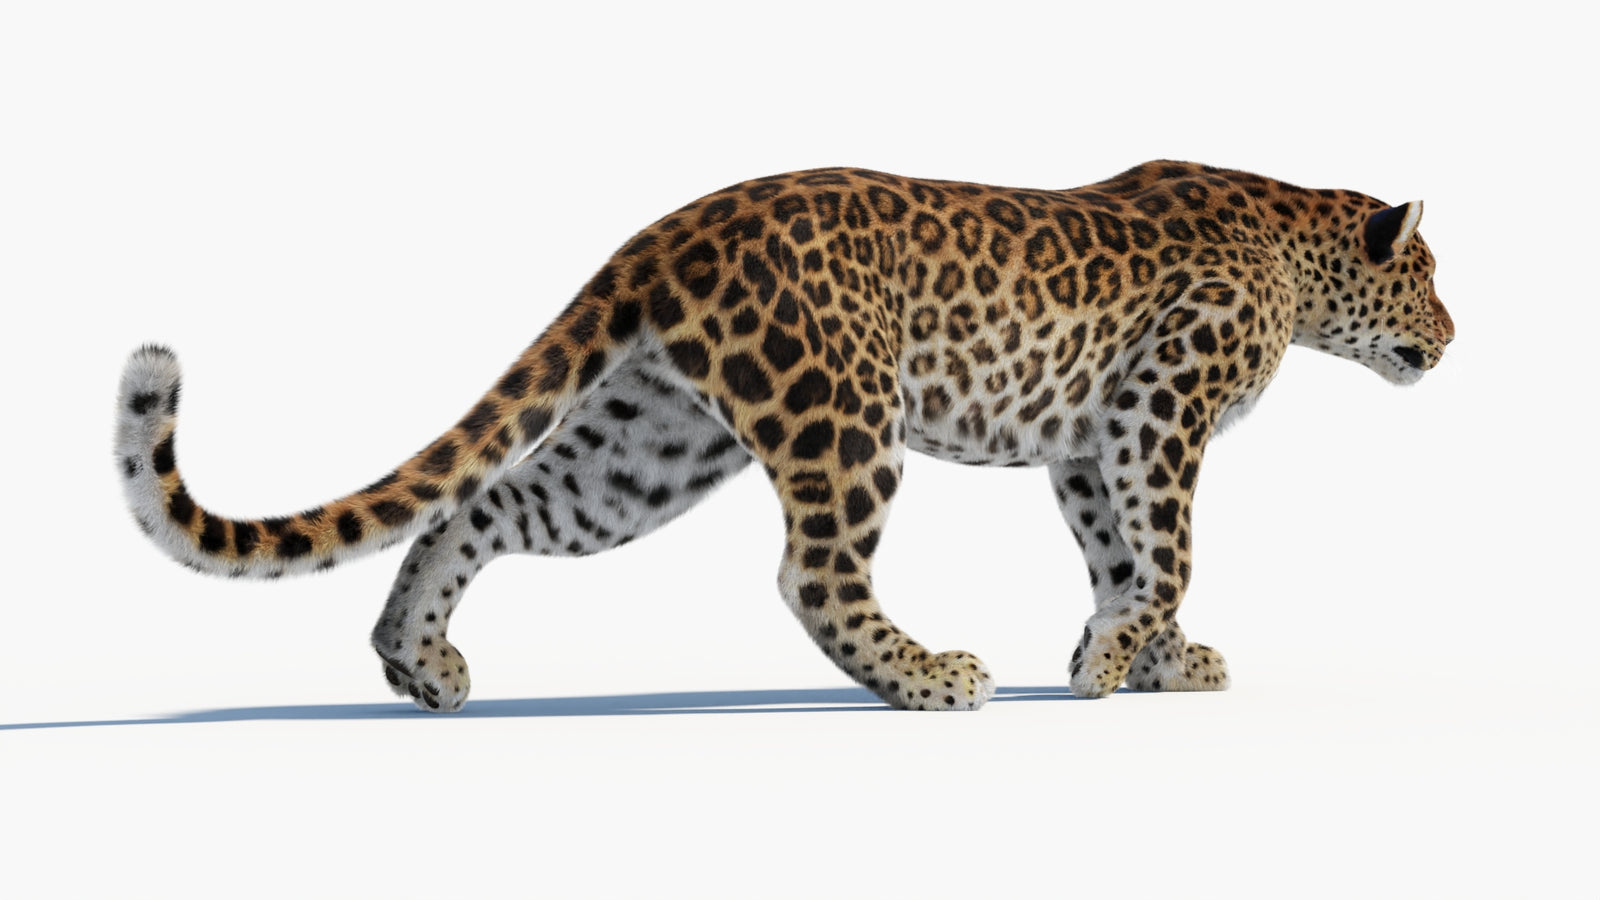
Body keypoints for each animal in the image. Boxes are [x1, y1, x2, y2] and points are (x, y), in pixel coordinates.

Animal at [115, 160, 1454, 712]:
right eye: (1430, 275)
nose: (1454, 334)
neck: (1298, 250)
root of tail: (669, 229)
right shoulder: (1159, 411)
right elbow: (1167, 553)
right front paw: (1112, 663)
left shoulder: (1089, 443)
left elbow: (1127, 558)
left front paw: (1139, 658)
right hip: (844, 414)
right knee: (812, 574)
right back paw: (930, 679)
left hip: (644, 451)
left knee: (485, 503)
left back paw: (417, 661)